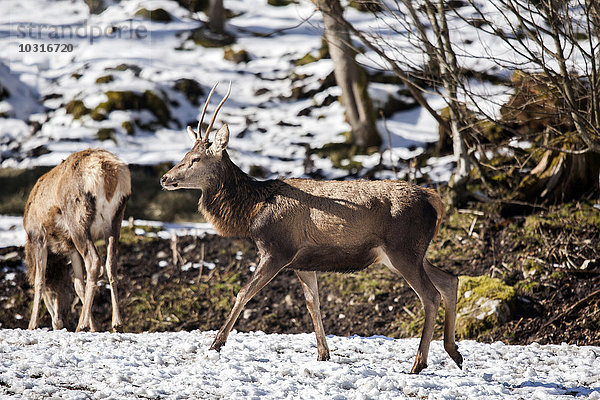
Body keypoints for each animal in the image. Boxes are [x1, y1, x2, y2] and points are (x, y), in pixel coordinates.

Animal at [25, 148, 131, 332]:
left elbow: (39, 281)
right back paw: (117, 323)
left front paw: (32, 325)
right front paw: (95, 327)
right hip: (115, 219)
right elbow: (78, 284)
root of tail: (106, 173)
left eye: (52, 292)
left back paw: (81, 325)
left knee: (94, 262)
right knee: (111, 264)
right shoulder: (71, 248)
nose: (58, 322)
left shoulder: (38, 236)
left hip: (78, 220)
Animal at [161, 83, 464, 374]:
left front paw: (215, 344)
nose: (165, 177)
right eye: (185, 153)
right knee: (450, 279)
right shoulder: (303, 262)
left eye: (196, 158)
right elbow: (312, 303)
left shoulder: (278, 250)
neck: (250, 212)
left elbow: (244, 293)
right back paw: (454, 352)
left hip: (403, 248)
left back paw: (419, 363)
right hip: (406, 253)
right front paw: (323, 354)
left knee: (430, 295)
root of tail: (435, 200)